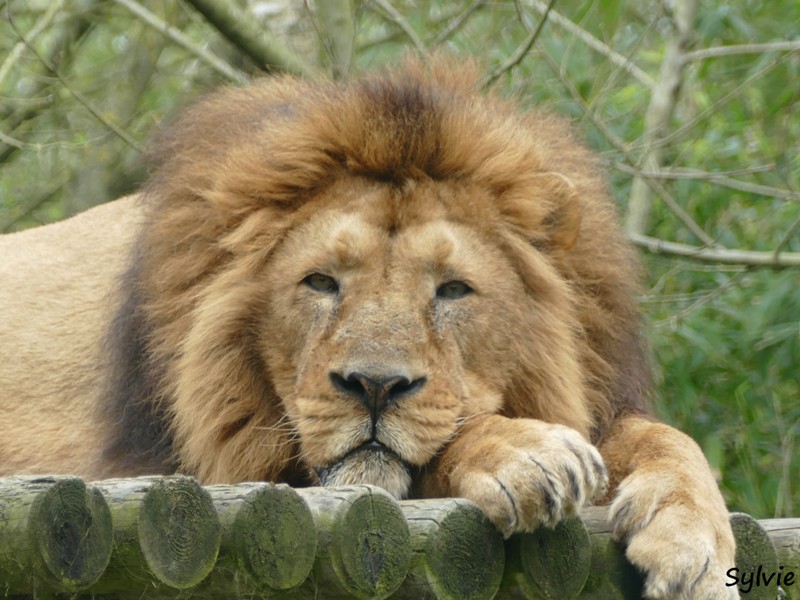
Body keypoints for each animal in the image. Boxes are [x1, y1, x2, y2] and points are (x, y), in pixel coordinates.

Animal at [1, 62, 736, 600]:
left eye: (452, 289)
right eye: (321, 282)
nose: (374, 387)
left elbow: (668, 440)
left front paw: (697, 549)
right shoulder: (224, 466)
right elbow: (448, 440)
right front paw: (528, 453)